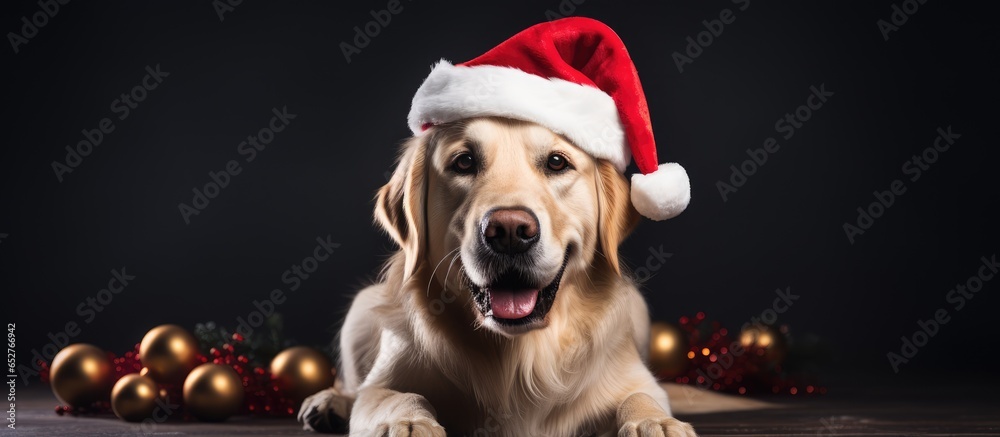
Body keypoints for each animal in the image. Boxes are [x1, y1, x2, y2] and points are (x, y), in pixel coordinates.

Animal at [298, 116, 696, 436]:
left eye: (557, 162)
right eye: (464, 162)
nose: (509, 231)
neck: (519, 354)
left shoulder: (636, 379)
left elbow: (641, 396)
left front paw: (655, 422)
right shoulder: (380, 386)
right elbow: (397, 395)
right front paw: (408, 422)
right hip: (360, 310)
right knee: (349, 386)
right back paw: (328, 403)